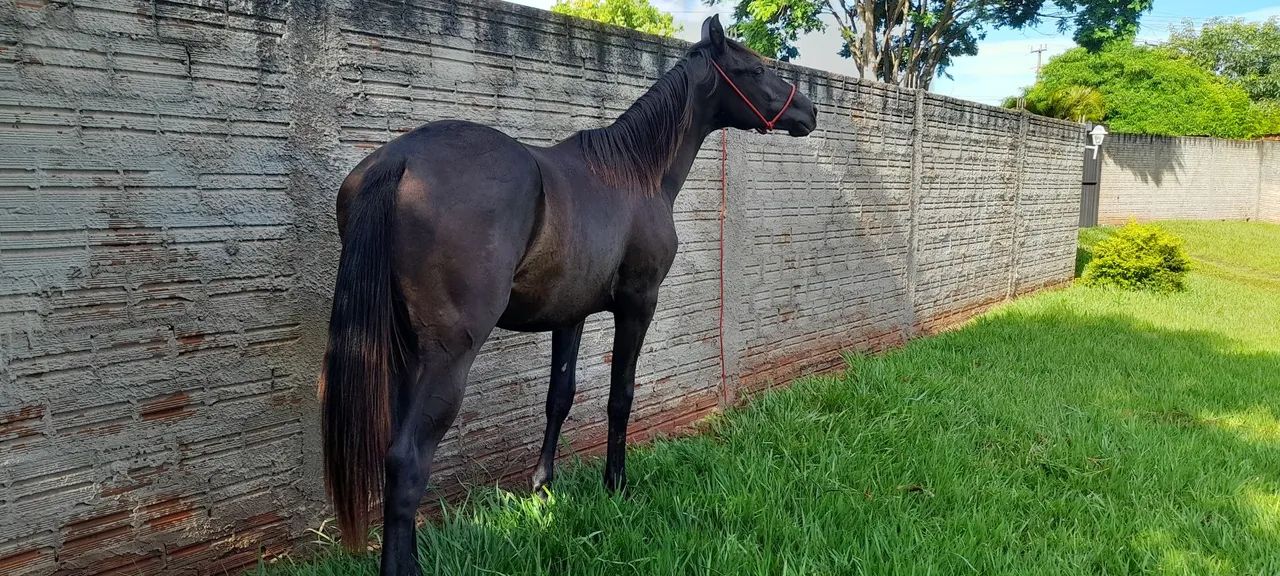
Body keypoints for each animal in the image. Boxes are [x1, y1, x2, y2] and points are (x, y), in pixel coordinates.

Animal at [319, 15, 818, 575]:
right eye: (754, 69)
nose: (810, 111)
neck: (634, 173)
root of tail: (399, 160)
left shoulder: (570, 315)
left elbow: (559, 396)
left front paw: (542, 490)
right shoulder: (638, 304)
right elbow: (620, 396)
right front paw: (616, 486)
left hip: (408, 353)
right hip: (446, 357)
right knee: (408, 460)